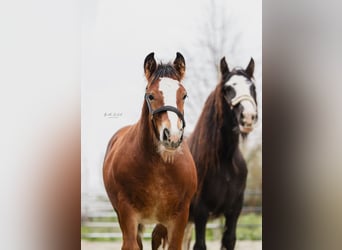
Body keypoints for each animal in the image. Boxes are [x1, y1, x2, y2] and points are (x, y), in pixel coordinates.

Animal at [102, 52, 198, 250]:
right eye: (151, 96)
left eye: (184, 95)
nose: (172, 136)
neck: (159, 167)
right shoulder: (128, 215)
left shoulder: (179, 218)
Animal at [187, 57, 260, 250]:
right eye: (228, 88)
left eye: (252, 87)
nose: (248, 117)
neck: (224, 161)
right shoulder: (201, 213)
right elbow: (200, 245)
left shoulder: (233, 212)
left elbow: (229, 240)